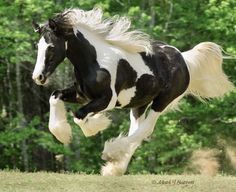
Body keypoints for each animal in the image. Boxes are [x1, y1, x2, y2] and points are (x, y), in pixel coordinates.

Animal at [31, 7, 234, 176]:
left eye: (51, 47)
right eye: (37, 46)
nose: (38, 77)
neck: (95, 61)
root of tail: (184, 59)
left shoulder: (107, 100)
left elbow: (79, 116)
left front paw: (96, 125)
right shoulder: (82, 95)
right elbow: (55, 96)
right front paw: (62, 134)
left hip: (162, 101)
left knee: (145, 130)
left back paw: (112, 153)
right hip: (139, 105)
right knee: (136, 132)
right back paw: (115, 168)